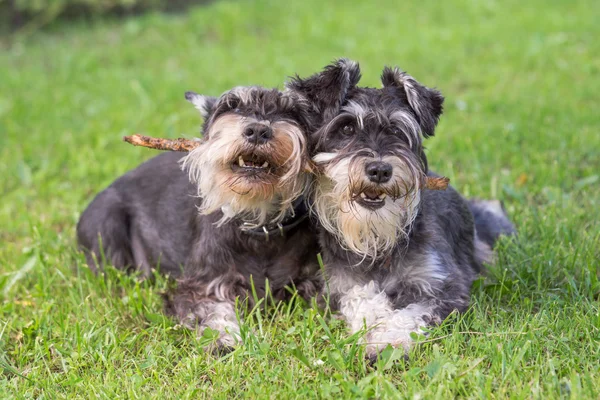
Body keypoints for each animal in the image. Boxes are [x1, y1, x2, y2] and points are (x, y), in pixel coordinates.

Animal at [78, 84, 350, 350]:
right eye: (232, 105)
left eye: (292, 112)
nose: (257, 130)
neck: (259, 225)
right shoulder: (204, 285)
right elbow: (211, 311)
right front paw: (225, 339)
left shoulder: (314, 280)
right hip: (106, 226)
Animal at [288, 63, 512, 360]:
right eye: (346, 127)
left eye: (396, 130)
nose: (380, 170)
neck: (378, 243)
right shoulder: (339, 285)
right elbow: (362, 300)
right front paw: (376, 322)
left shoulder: (443, 285)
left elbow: (411, 313)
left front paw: (388, 341)